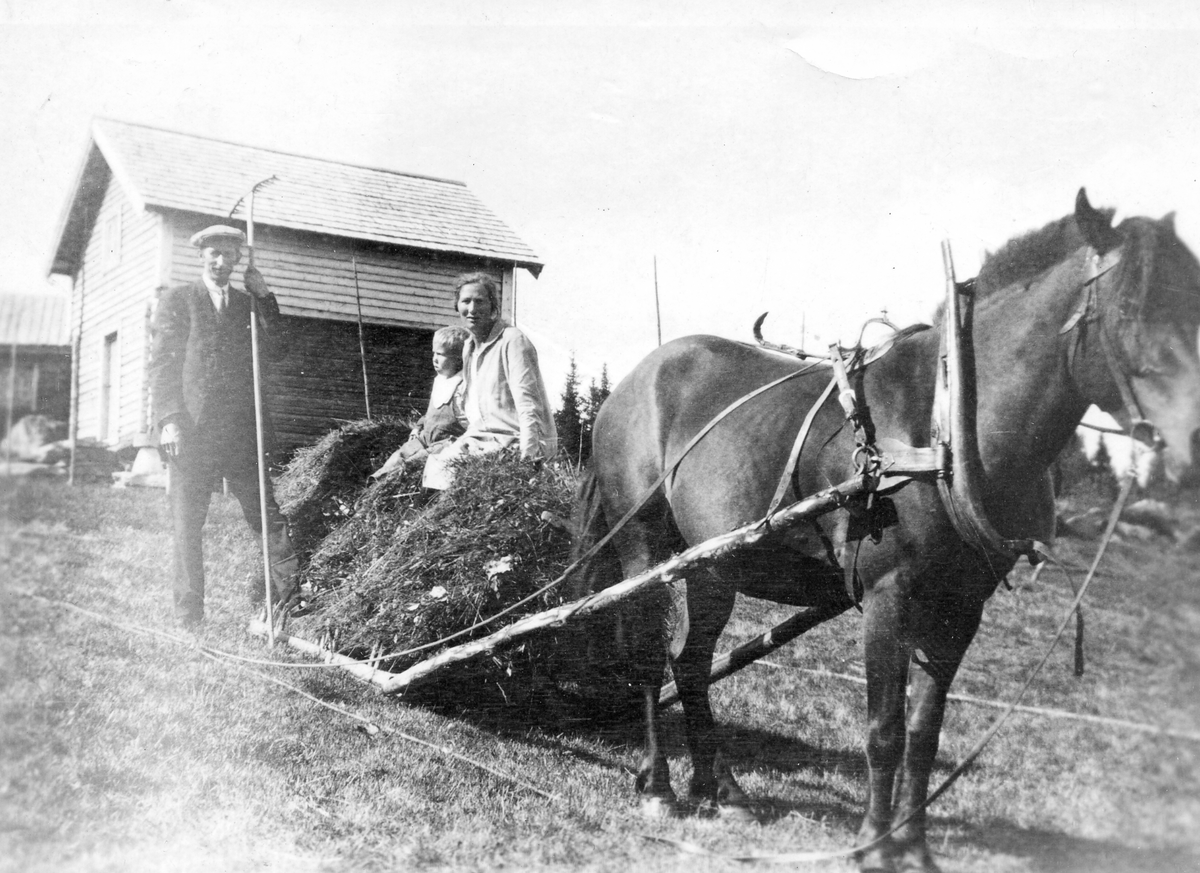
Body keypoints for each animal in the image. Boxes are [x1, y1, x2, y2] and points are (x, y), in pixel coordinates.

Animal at [571, 190, 1200, 873]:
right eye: (1132, 308)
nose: (1192, 443)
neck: (945, 431)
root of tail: (637, 377)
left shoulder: (961, 607)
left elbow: (923, 735)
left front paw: (915, 846)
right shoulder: (886, 595)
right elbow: (884, 730)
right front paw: (874, 843)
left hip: (713, 564)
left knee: (689, 665)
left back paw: (722, 788)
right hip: (644, 546)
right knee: (647, 655)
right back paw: (659, 784)